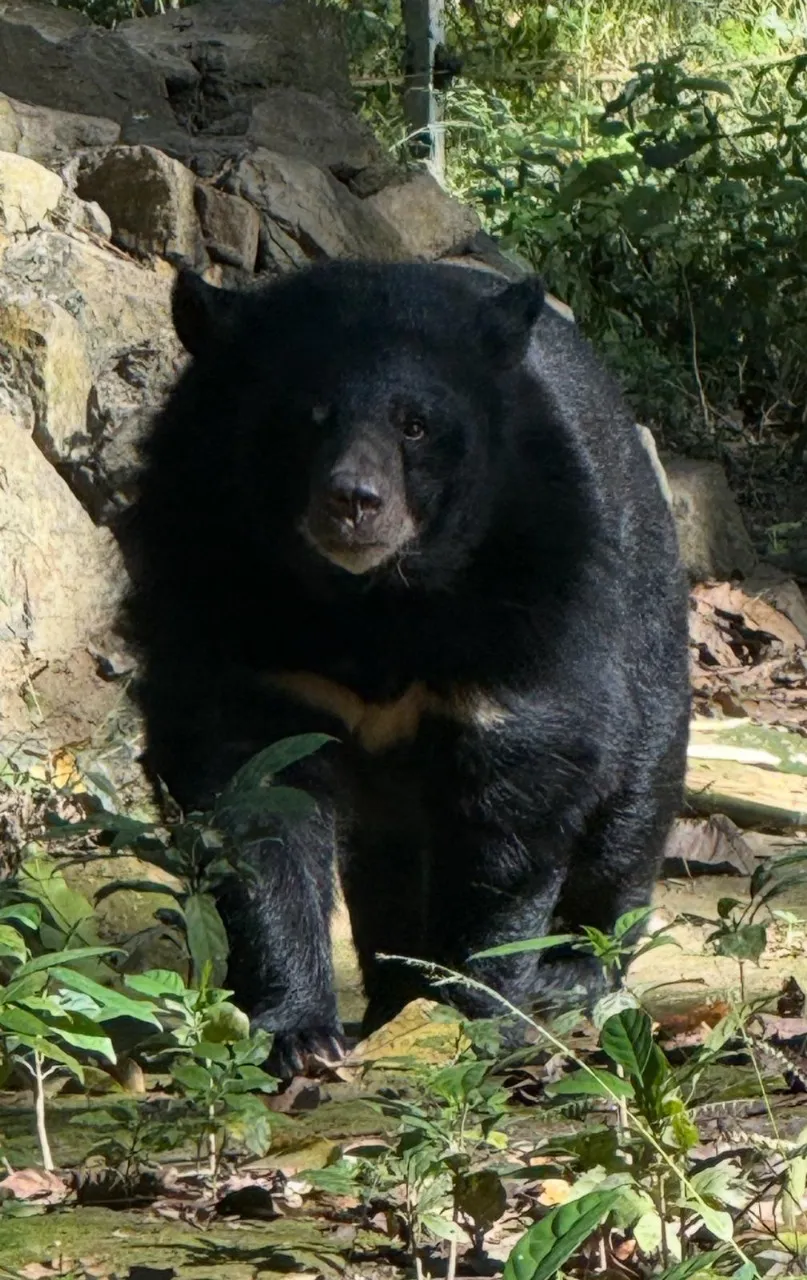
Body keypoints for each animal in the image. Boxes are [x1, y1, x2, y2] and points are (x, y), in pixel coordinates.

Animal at [123, 259, 691, 1077]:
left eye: (414, 425)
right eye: (308, 416)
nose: (354, 501)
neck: (371, 605)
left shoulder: (530, 600)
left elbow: (514, 807)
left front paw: (468, 1012)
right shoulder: (219, 602)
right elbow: (254, 796)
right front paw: (297, 1035)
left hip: (646, 623)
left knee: (632, 803)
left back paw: (571, 971)